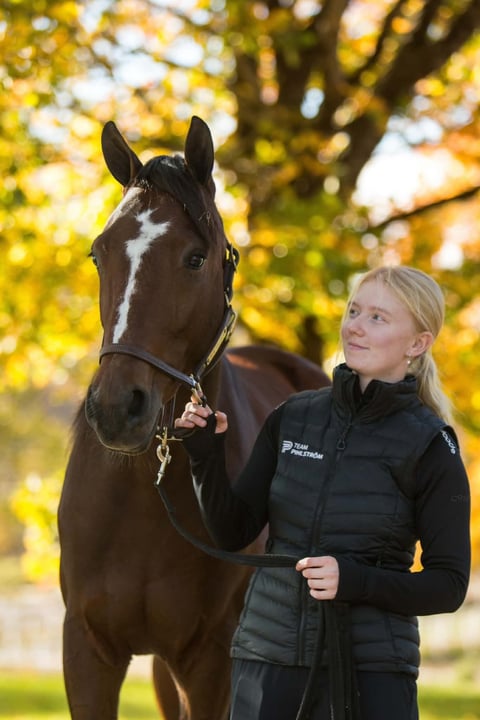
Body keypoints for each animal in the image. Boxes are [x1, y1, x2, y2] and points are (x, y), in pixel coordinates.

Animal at [58, 115, 330, 720]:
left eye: (196, 257)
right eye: (98, 255)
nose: (117, 409)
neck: (142, 495)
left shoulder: (211, 663)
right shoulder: (88, 651)